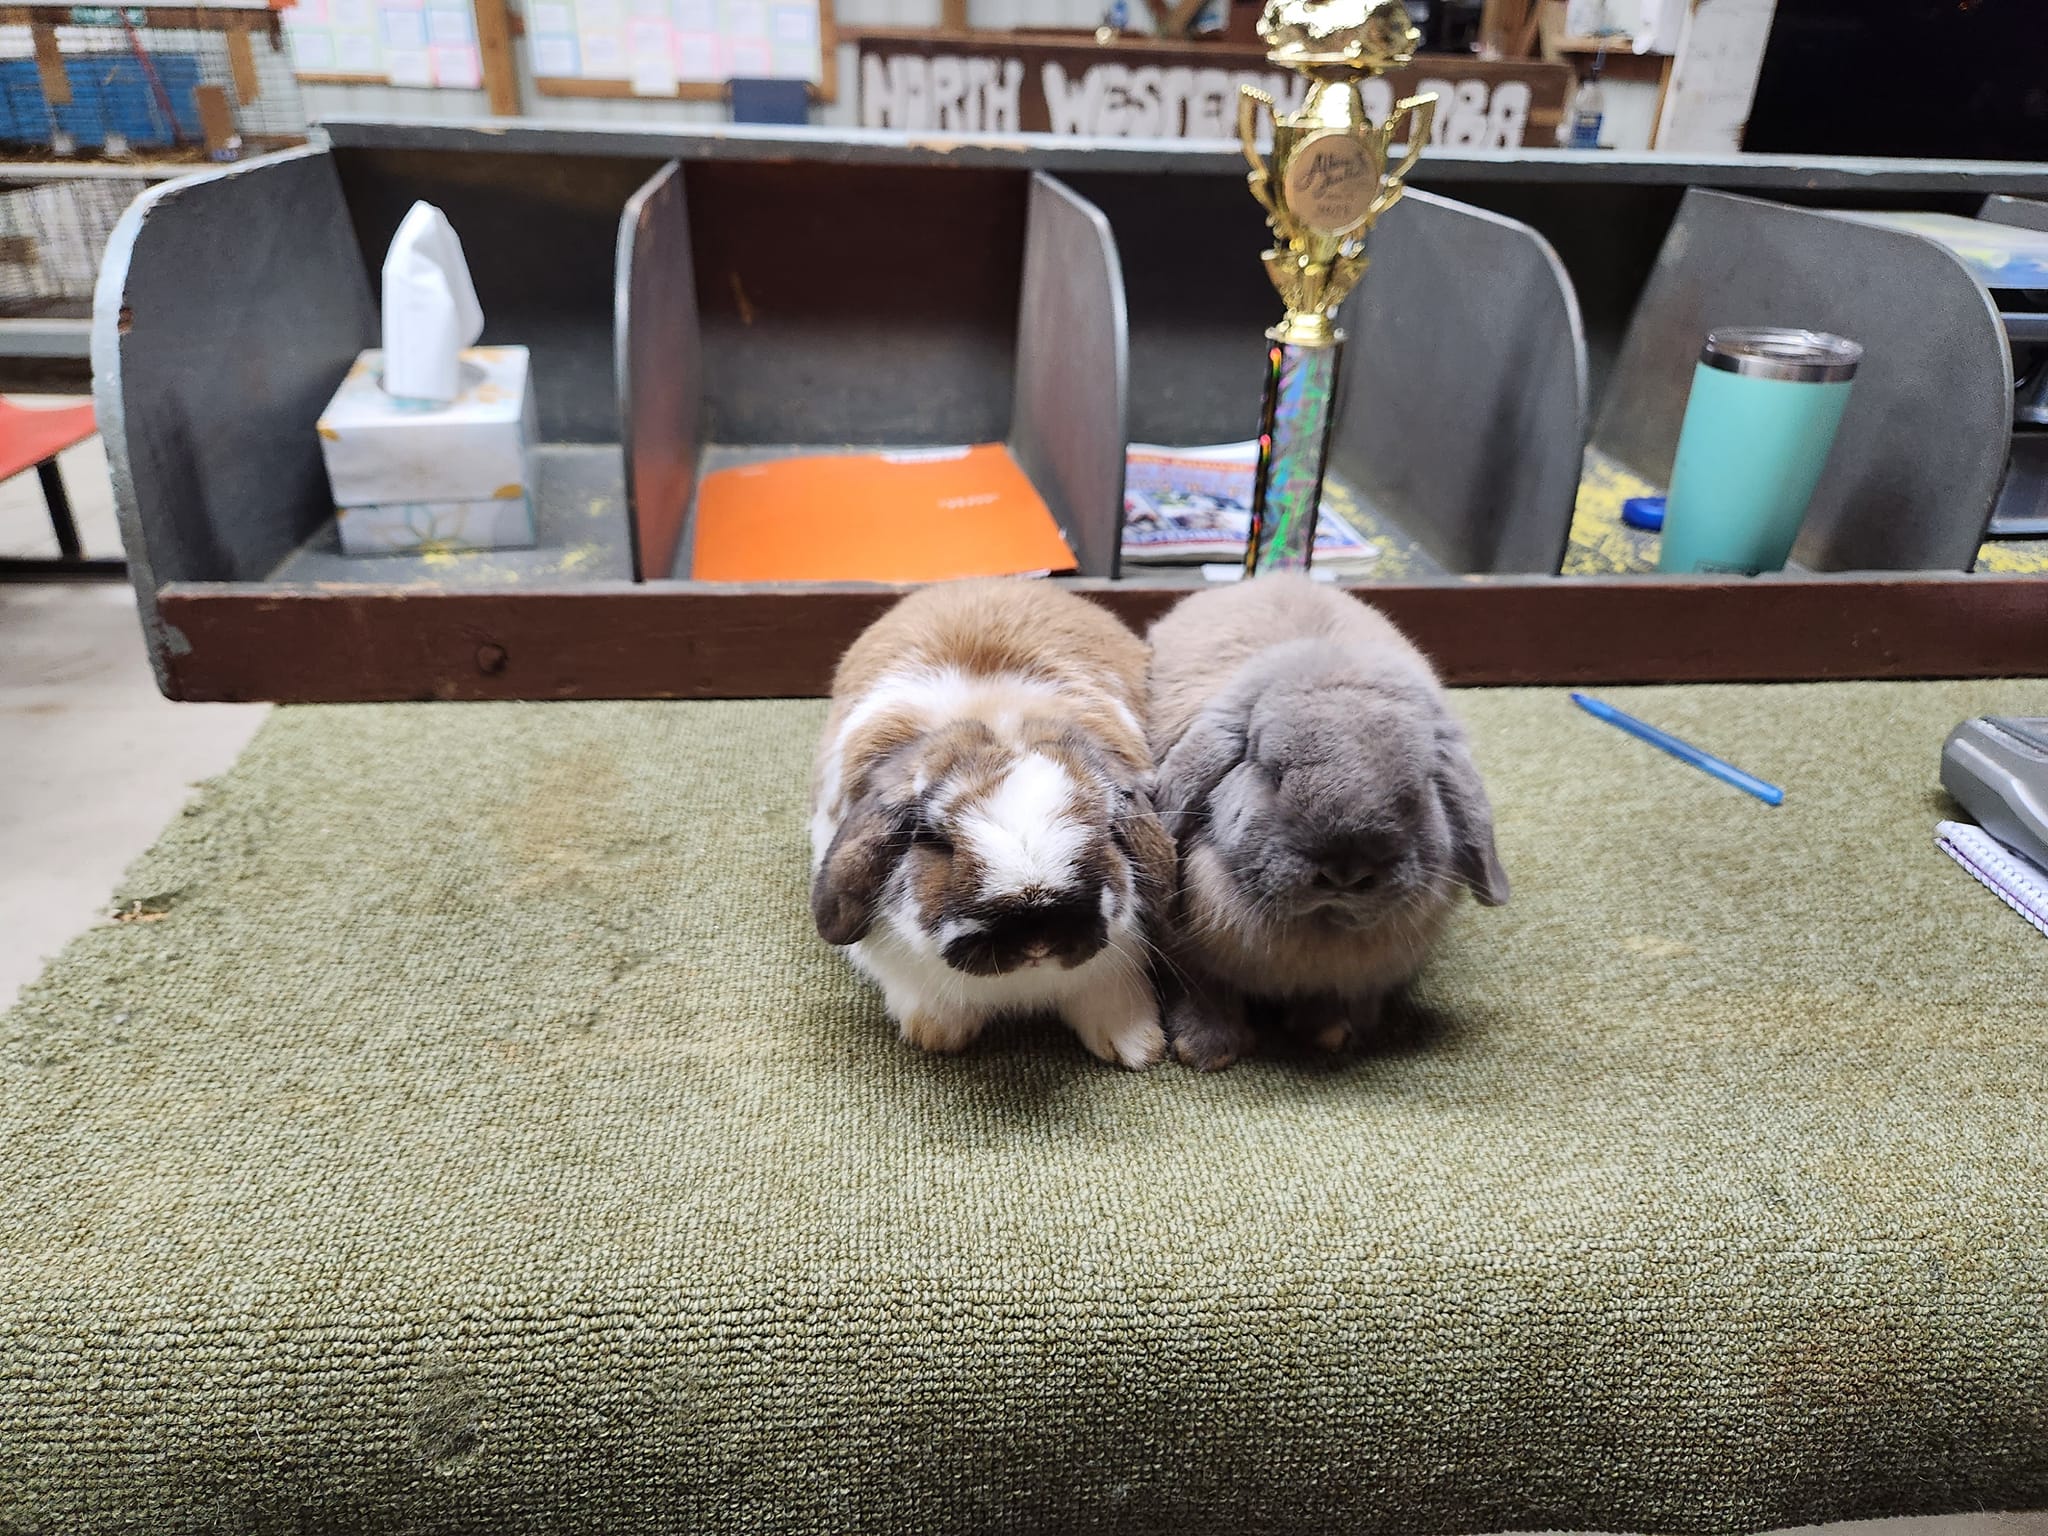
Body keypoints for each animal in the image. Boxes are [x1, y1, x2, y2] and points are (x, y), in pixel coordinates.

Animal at [810, 578, 1176, 1069]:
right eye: (935, 841)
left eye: (1103, 830)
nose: (1037, 937)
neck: (997, 721)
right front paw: (936, 1034)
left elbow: (1108, 997)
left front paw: (1135, 1046)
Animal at [1146, 573, 1508, 1071]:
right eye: (1273, 772)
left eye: (1416, 791)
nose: (1345, 874)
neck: (1320, 929)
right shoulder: (1188, 956)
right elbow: (1204, 987)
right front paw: (1206, 1049)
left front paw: (1329, 1032)